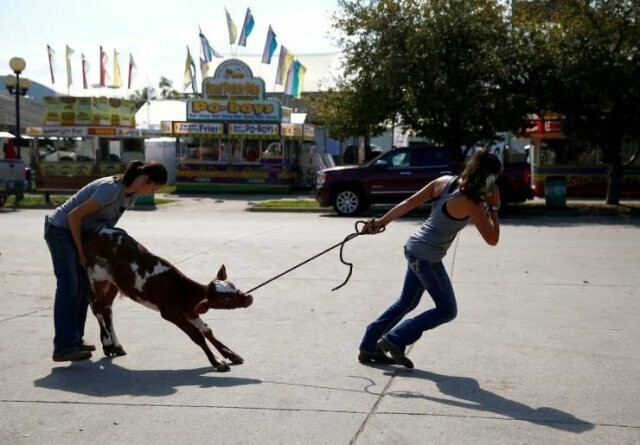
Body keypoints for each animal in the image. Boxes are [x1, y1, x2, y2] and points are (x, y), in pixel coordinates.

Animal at [80, 225, 250, 372]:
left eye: (233, 285)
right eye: (225, 299)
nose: (248, 298)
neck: (180, 291)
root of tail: (96, 231)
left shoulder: (190, 311)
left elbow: (207, 330)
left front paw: (230, 354)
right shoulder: (170, 313)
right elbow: (197, 335)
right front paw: (216, 362)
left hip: (113, 283)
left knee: (107, 310)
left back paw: (117, 346)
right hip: (95, 279)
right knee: (97, 309)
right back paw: (107, 344)